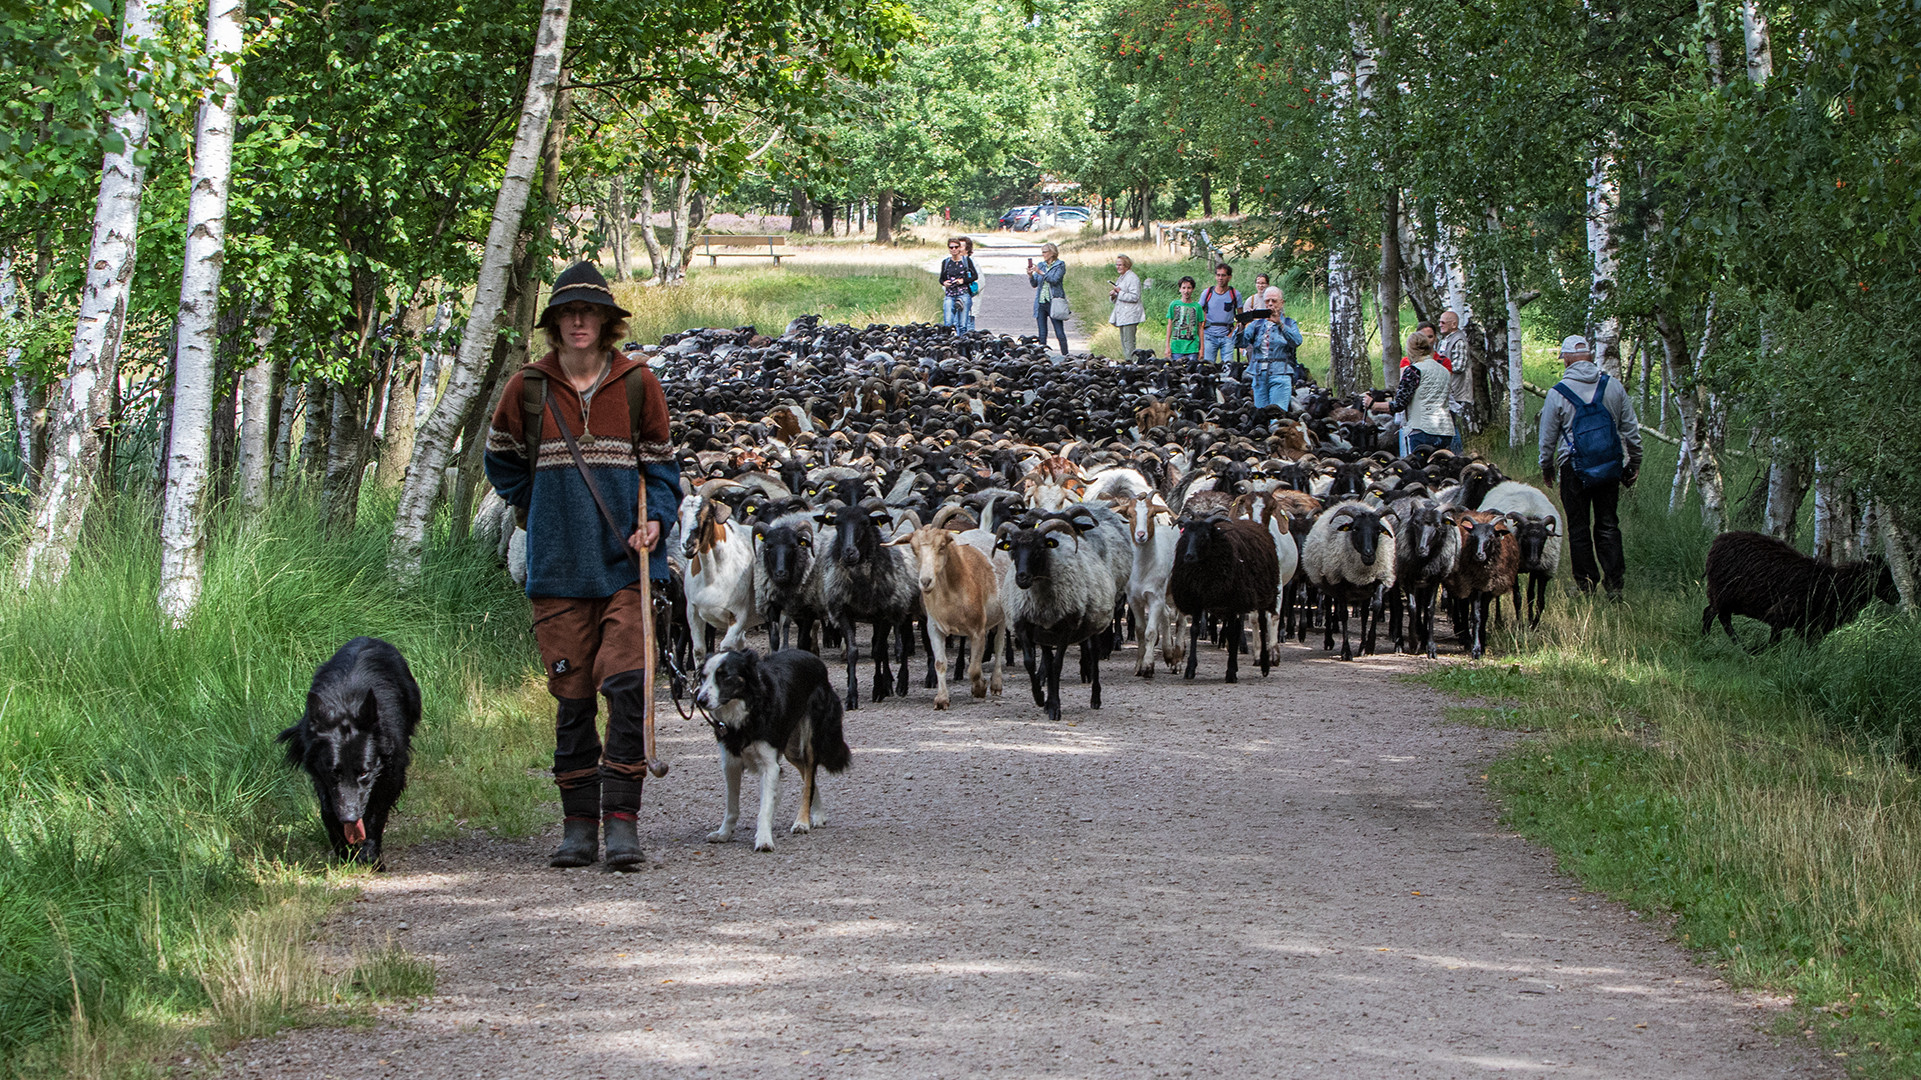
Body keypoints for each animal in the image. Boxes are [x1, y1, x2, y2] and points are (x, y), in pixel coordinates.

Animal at [278, 634, 420, 868]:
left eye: (363, 772)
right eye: (334, 773)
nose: (350, 818)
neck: (345, 707)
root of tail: (367, 638)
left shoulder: (391, 775)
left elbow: (375, 815)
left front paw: (369, 855)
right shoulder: (322, 779)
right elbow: (328, 812)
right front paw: (344, 853)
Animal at [687, 645, 845, 849]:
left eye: (725, 676)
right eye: (704, 676)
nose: (700, 700)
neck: (746, 708)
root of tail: (813, 657)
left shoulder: (769, 765)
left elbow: (765, 808)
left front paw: (764, 839)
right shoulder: (730, 762)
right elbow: (731, 806)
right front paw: (724, 833)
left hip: (810, 738)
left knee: (809, 776)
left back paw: (802, 821)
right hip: (791, 749)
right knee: (807, 778)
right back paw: (818, 814)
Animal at [1705, 526, 1897, 641]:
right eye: (1884, 576)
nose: (1898, 597)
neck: (1836, 584)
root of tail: (1717, 541)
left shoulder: (1812, 628)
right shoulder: (1780, 614)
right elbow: (1774, 643)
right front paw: (1763, 655)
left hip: (1725, 596)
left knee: (1711, 613)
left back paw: (1707, 639)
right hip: (1724, 594)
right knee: (1719, 617)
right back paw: (1739, 645)